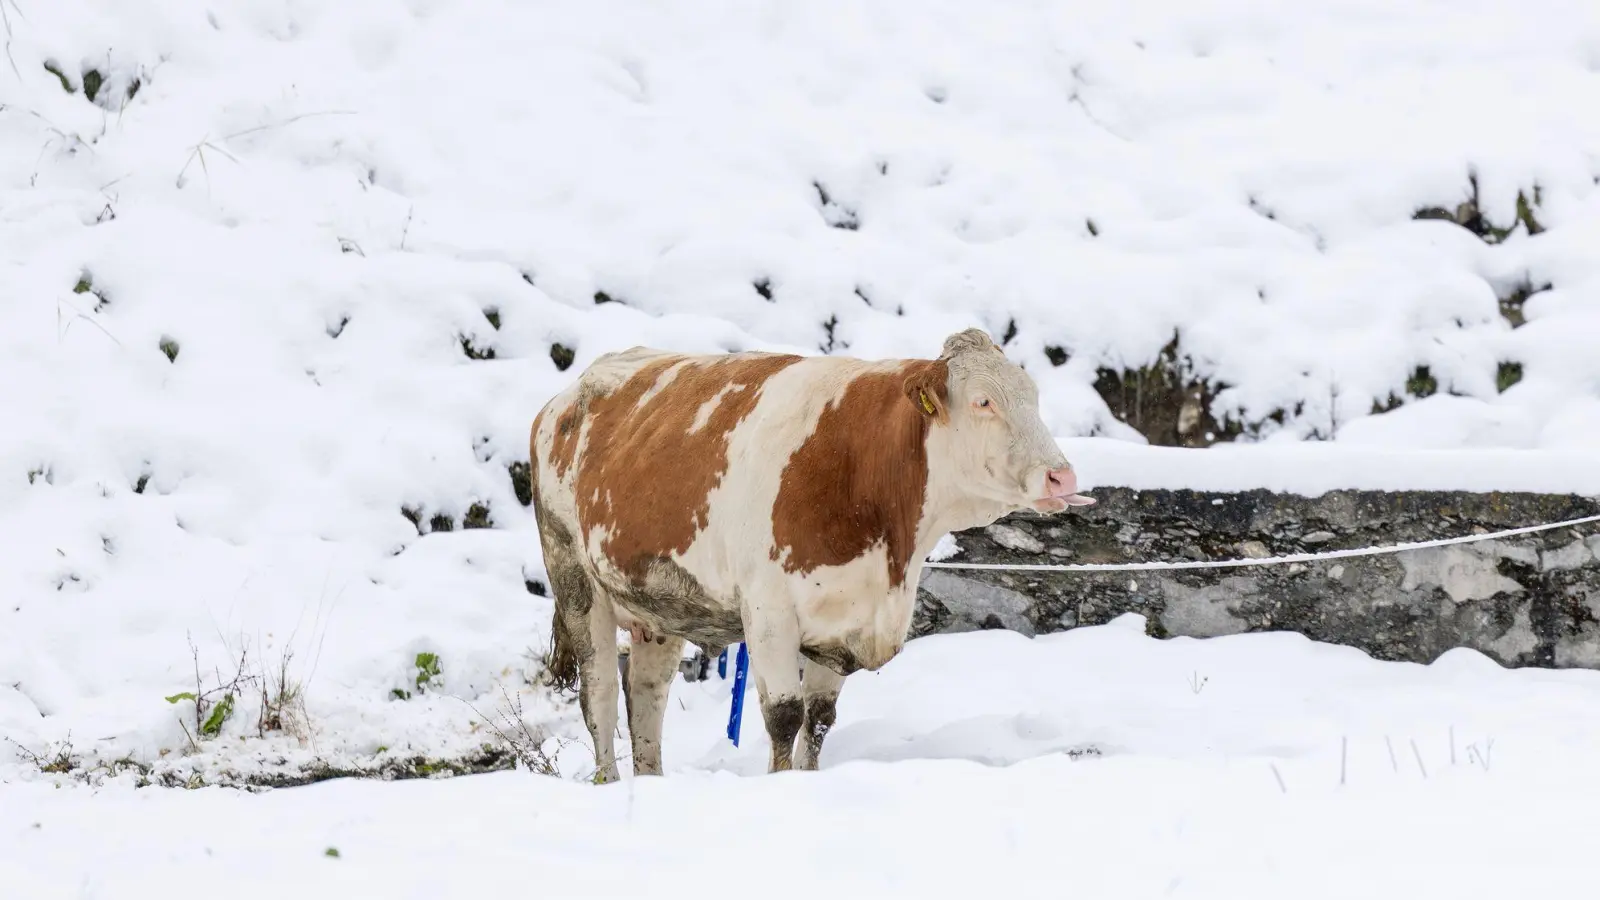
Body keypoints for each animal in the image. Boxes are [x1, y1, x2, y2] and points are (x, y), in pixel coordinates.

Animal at [531, 325, 1094, 775]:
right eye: (983, 402)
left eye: (1033, 398)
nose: (1062, 476)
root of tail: (566, 397)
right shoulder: (768, 612)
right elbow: (784, 717)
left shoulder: (844, 619)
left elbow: (820, 720)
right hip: (575, 578)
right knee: (600, 695)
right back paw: (608, 781)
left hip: (660, 602)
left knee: (646, 694)